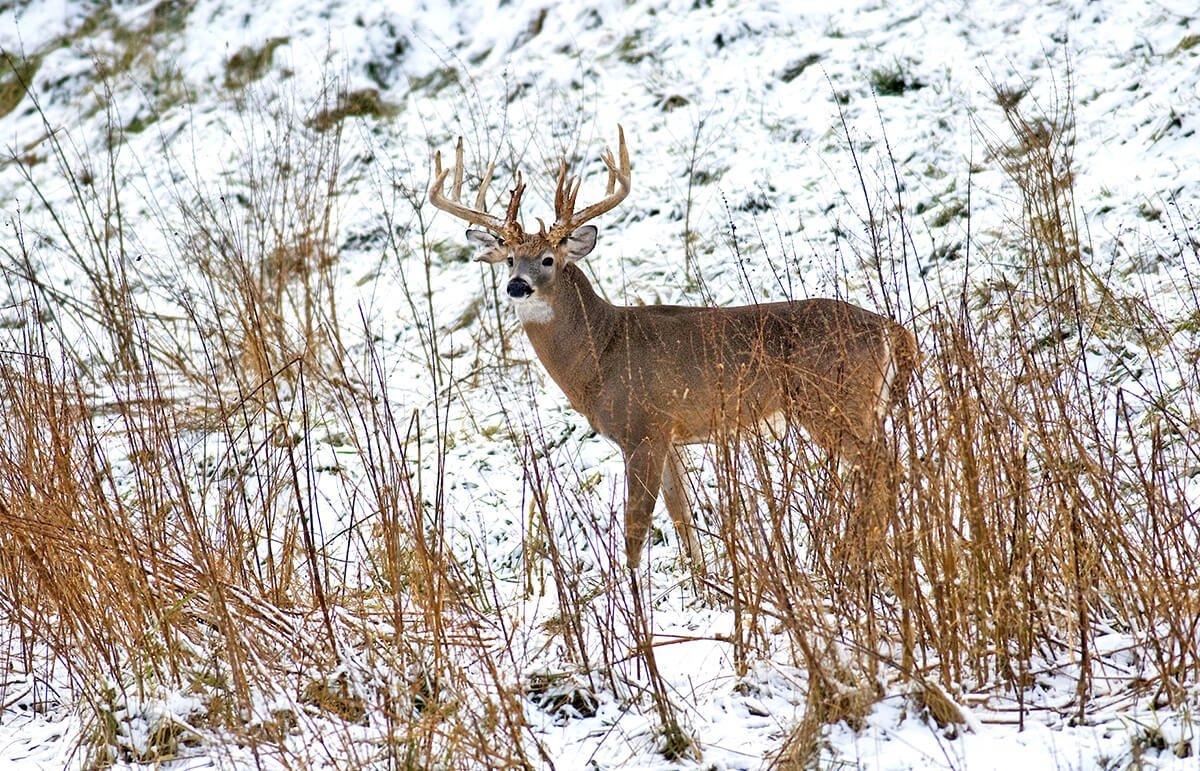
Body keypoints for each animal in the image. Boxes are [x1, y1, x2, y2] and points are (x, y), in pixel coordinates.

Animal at [432, 126, 916, 571]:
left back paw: (857, 557)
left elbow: (636, 527)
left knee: (883, 466)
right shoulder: (670, 433)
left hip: (833, 399)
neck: (601, 353)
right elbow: (682, 517)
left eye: (549, 259)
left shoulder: (643, 427)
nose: (517, 286)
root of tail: (892, 331)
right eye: (511, 259)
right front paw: (701, 583)